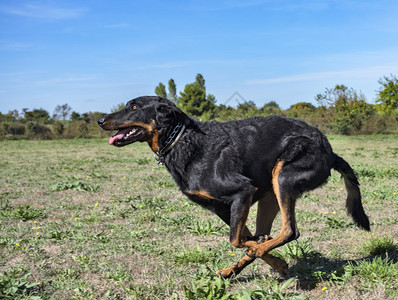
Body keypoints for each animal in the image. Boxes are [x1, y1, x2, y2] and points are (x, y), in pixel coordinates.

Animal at [97, 96, 370, 278]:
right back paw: (237, 267)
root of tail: (331, 153)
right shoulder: (222, 208)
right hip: (271, 192)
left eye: (133, 107)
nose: (100, 120)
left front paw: (262, 253)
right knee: (267, 234)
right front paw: (275, 261)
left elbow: (236, 240)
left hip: (283, 178)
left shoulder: (242, 192)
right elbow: (244, 238)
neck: (182, 139)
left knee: (289, 231)